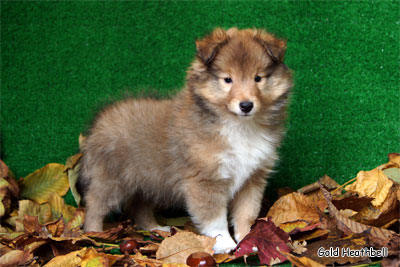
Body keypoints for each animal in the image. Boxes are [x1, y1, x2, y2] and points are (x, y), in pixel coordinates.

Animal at [79, 28, 292, 254]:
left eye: (258, 78)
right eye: (228, 79)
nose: (246, 105)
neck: (239, 126)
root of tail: (98, 124)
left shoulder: (252, 178)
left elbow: (246, 214)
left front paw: (249, 241)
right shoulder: (205, 180)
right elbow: (214, 218)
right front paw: (224, 243)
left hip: (145, 184)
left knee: (139, 208)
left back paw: (156, 228)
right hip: (111, 180)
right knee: (94, 205)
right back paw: (94, 235)